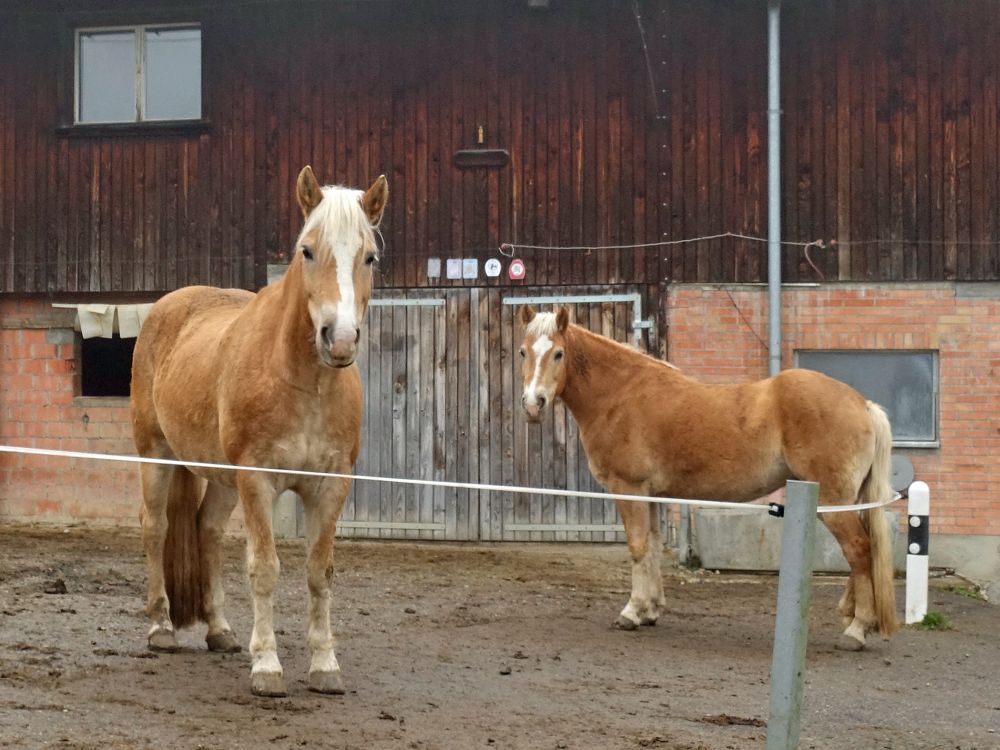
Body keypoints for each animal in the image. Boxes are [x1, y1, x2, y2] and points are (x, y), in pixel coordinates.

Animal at [130, 167, 386, 696]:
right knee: (156, 528)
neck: (302, 382)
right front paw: (267, 667)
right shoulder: (258, 480)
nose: (339, 339)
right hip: (156, 457)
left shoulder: (330, 486)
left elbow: (319, 572)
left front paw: (324, 665)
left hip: (222, 478)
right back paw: (161, 628)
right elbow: (264, 568)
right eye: (307, 250)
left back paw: (221, 631)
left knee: (206, 530)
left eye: (369, 256)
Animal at [516, 306, 900, 652]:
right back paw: (851, 614)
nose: (533, 405)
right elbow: (652, 546)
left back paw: (857, 629)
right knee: (863, 549)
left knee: (858, 549)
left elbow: (638, 547)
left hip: (833, 501)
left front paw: (631, 612)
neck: (620, 395)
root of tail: (862, 404)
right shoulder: (652, 495)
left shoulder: (630, 489)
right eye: (523, 351)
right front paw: (651, 610)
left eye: (558, 353)